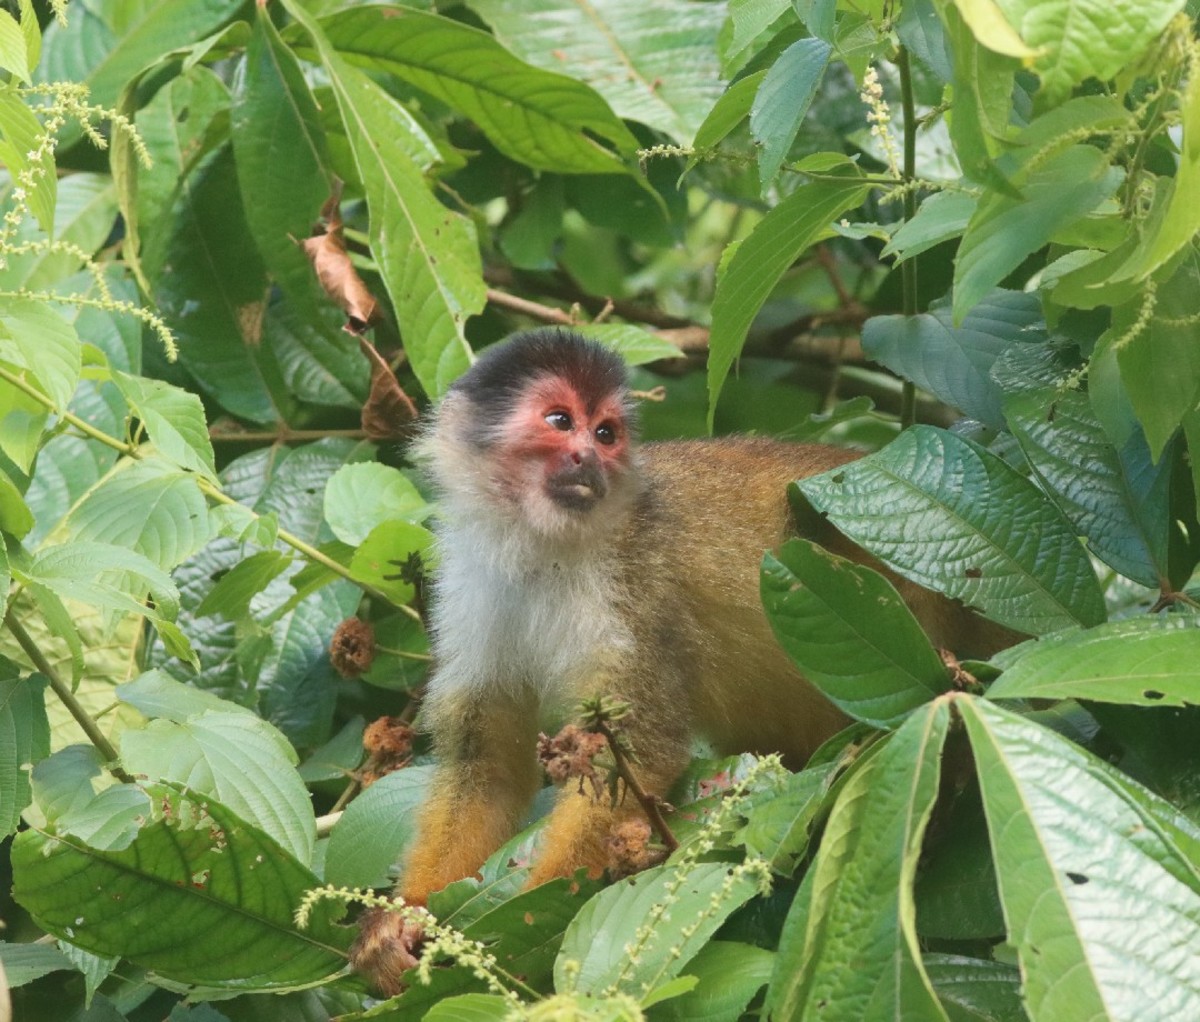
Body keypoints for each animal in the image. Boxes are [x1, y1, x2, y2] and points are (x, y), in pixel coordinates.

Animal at [350, 328, 1012, 988]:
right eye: (561, 421)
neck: (542, 545)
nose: (589, 458)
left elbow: (640, 748)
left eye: (605, 433)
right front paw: (402, 920)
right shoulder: (470, 578)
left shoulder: (633, 583)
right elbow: (486, 764)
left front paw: (527, 926)